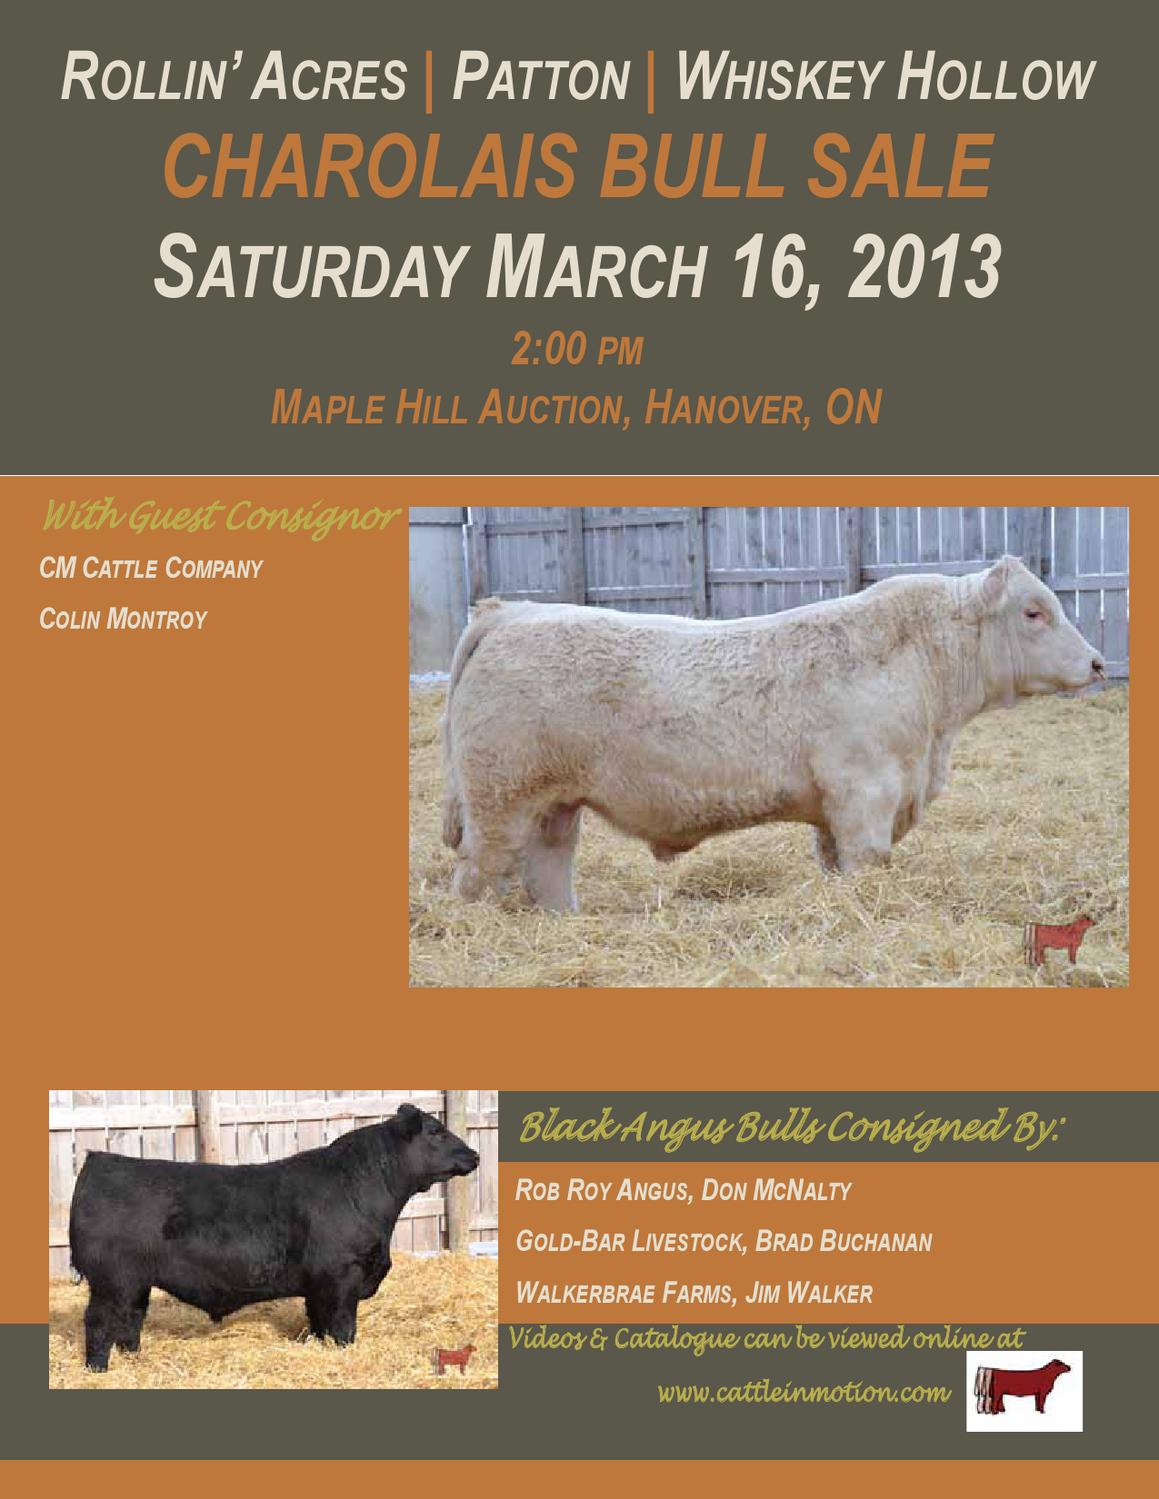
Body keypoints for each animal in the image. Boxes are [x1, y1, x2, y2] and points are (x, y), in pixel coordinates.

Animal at [69, 1104, 479, 1372]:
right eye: (436, 1132)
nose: (474, 1155)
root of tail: (98, 1161)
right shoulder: (343, 1274)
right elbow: (343, 1325)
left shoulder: (319, 1285)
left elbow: (319, 1322)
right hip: (110, 1282)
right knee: (99, 1323)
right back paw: (98, 1369)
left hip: (134, 1283)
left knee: (130, 1319)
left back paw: (134, 1357)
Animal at [441, 556, 1105, 911]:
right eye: (1033, 612)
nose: (1099, 663)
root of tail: (511, 611)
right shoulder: (865, 798)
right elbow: (869, 864)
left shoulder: (840, 813)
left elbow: (834, 865)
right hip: (499, 800)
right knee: (477, 875)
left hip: (554, 804)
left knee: (548, 865)